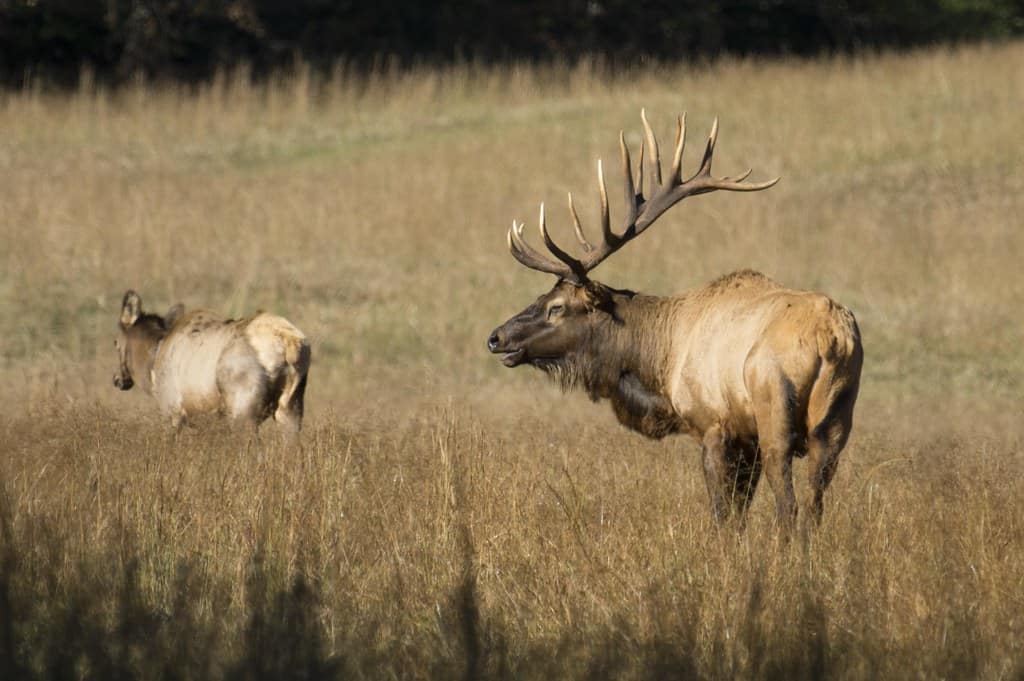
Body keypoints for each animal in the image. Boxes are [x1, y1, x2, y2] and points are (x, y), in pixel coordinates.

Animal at [113, 290, 311, 440]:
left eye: (115, 342)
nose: (117, 379)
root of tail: (289, 343)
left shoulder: (173, 412)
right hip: (291, 409)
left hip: (243, 412)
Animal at [487, 110, 862, 531]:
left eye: (556, 307)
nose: (496, 337)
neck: (659, 368)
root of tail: (832, 340)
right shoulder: (745, 438)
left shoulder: (715, 426)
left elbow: (724, 516)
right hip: (835, 419)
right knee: (814, 506)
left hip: (774, 407)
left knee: (789, 505)